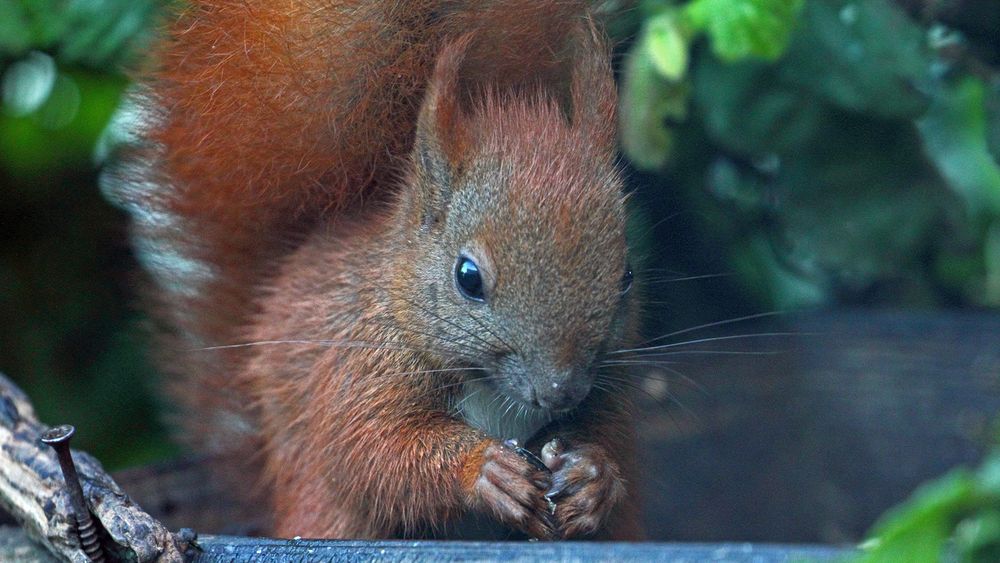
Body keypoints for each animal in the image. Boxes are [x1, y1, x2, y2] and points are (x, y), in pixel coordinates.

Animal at [109, 0, 640, 540]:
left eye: (626, 276)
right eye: (468, 277)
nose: (560, 391)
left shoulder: (613, 387)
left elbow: (616, 438)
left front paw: (594, 476)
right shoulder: (359, 362)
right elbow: (369, 449)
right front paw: (485, 470)